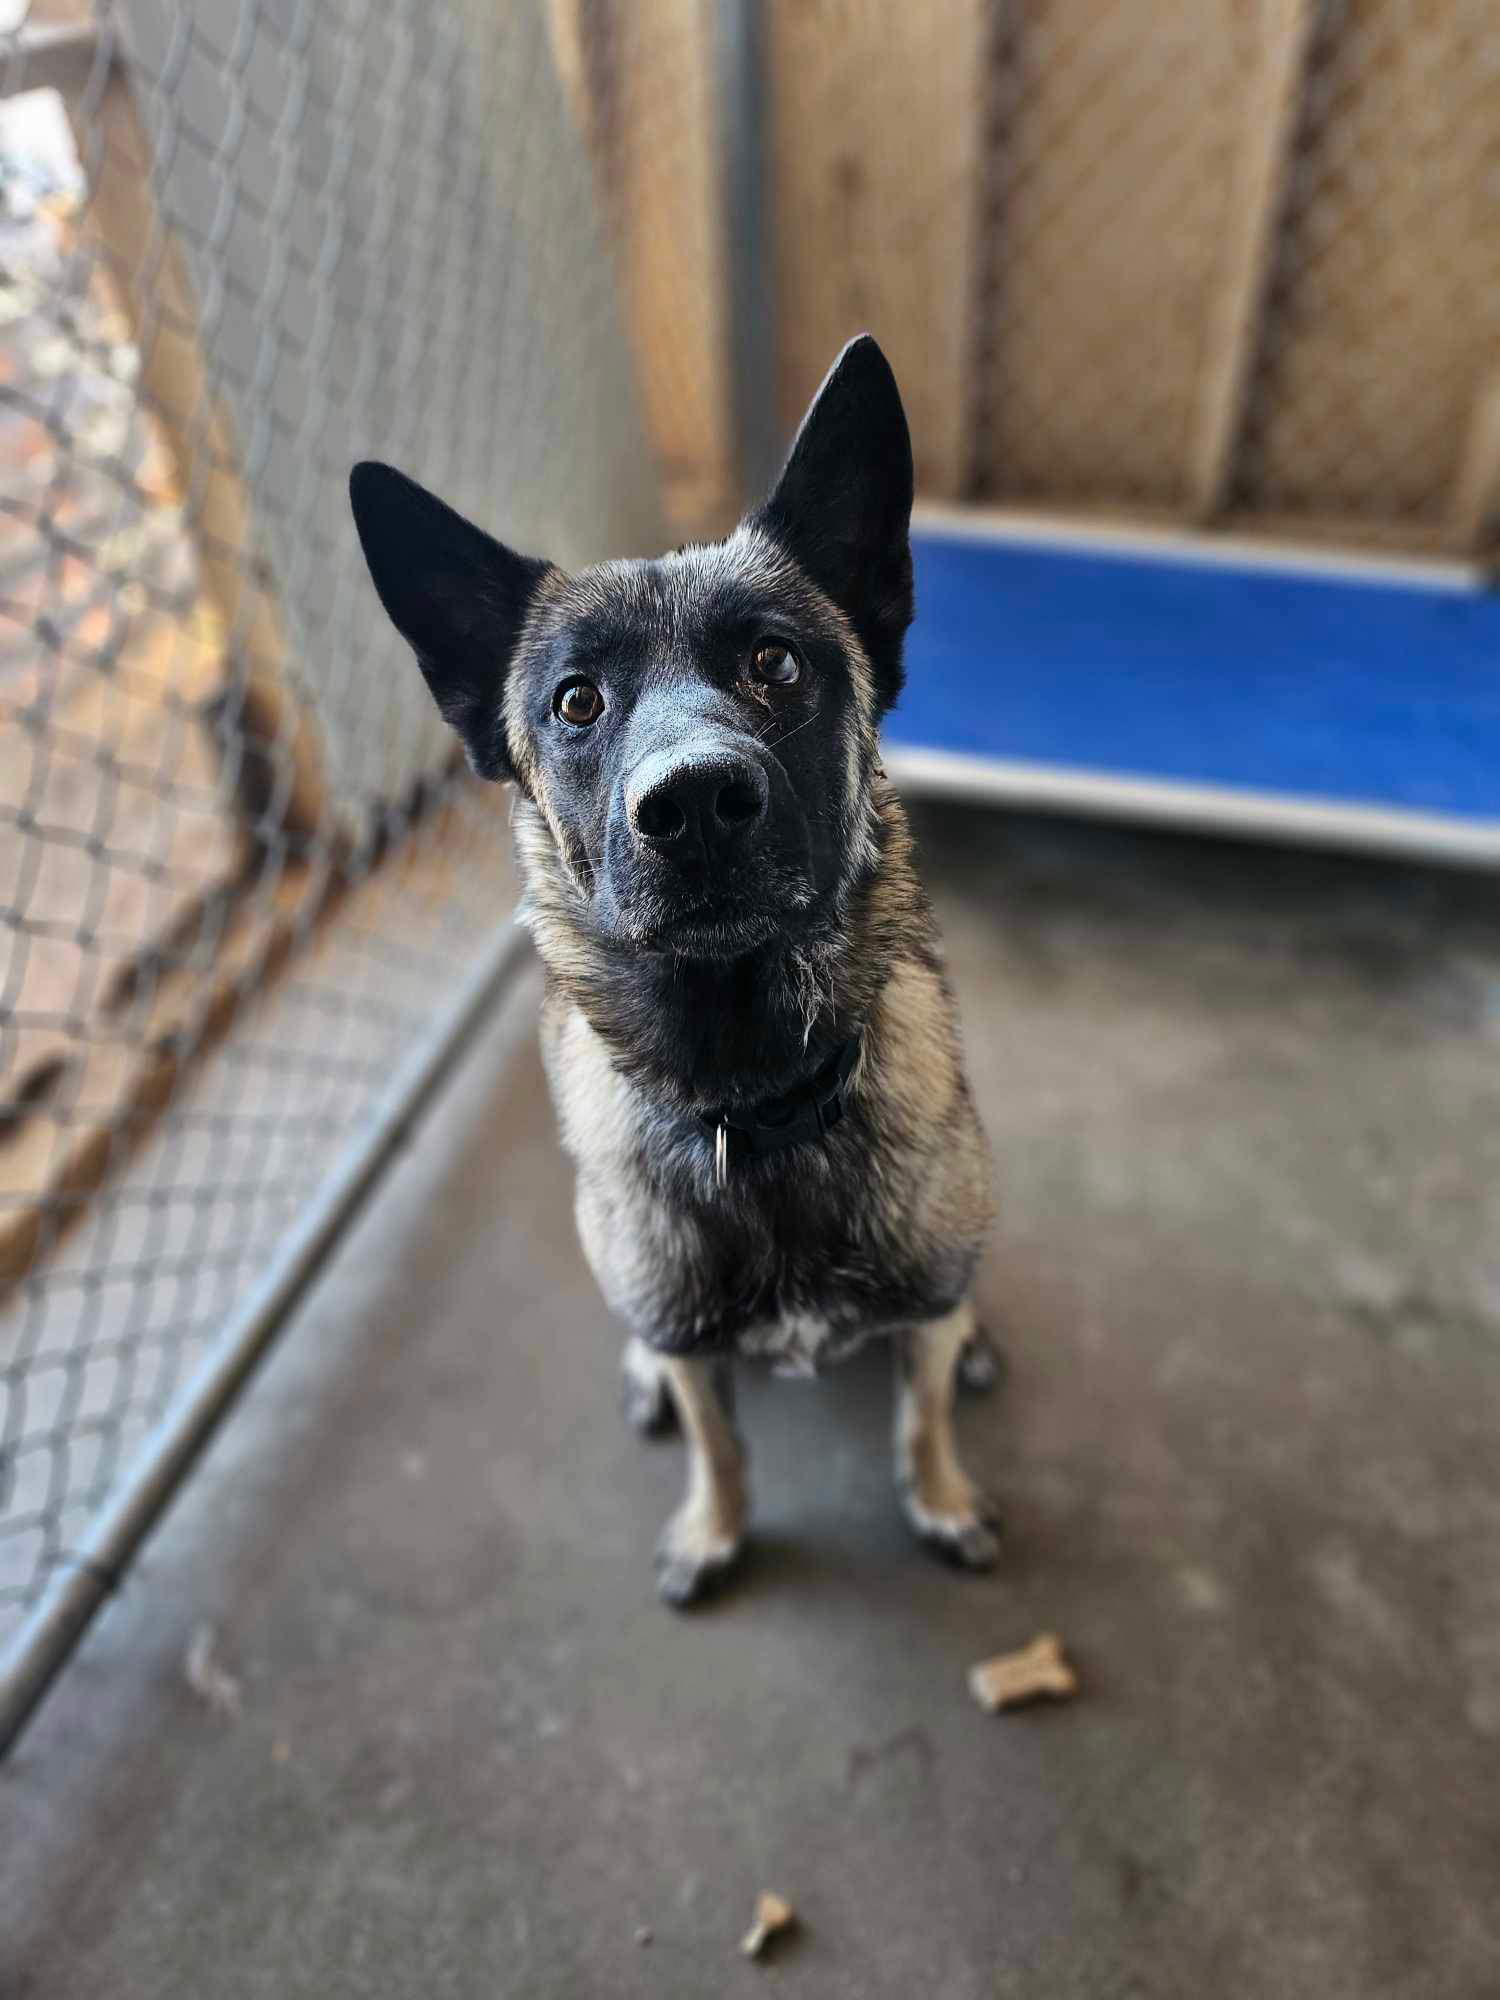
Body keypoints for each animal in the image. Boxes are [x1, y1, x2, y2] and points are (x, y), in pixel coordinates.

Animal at [352, 336, 1000, 1600]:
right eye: (577, 701)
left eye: (773, 661)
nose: (693, 802)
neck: (751, 1099)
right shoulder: (693, 1336)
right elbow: (721, 1438)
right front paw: (715, 1525)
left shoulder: (923, 1301)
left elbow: (921, 1412)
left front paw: (942, 1494)